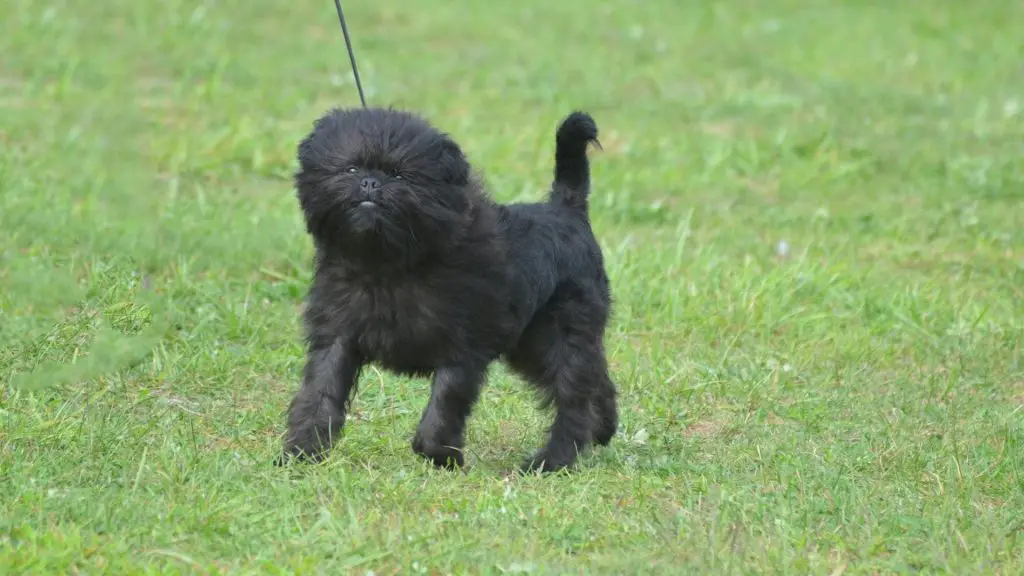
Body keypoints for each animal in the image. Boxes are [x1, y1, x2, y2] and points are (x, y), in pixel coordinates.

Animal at [280, 107, 614, 471]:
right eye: (351, 169)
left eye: (400, 175)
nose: (370, 182)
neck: (386, 263)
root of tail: (567, 208)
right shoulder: (336, 337)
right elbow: (320, 394)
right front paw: (301, 451)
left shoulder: (462, 346)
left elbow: (445, 403)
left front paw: (440, 454)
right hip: (531, 344)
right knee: (595, 380)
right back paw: (604, 428)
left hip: (562, 331)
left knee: (573, 397)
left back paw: (554, 460)